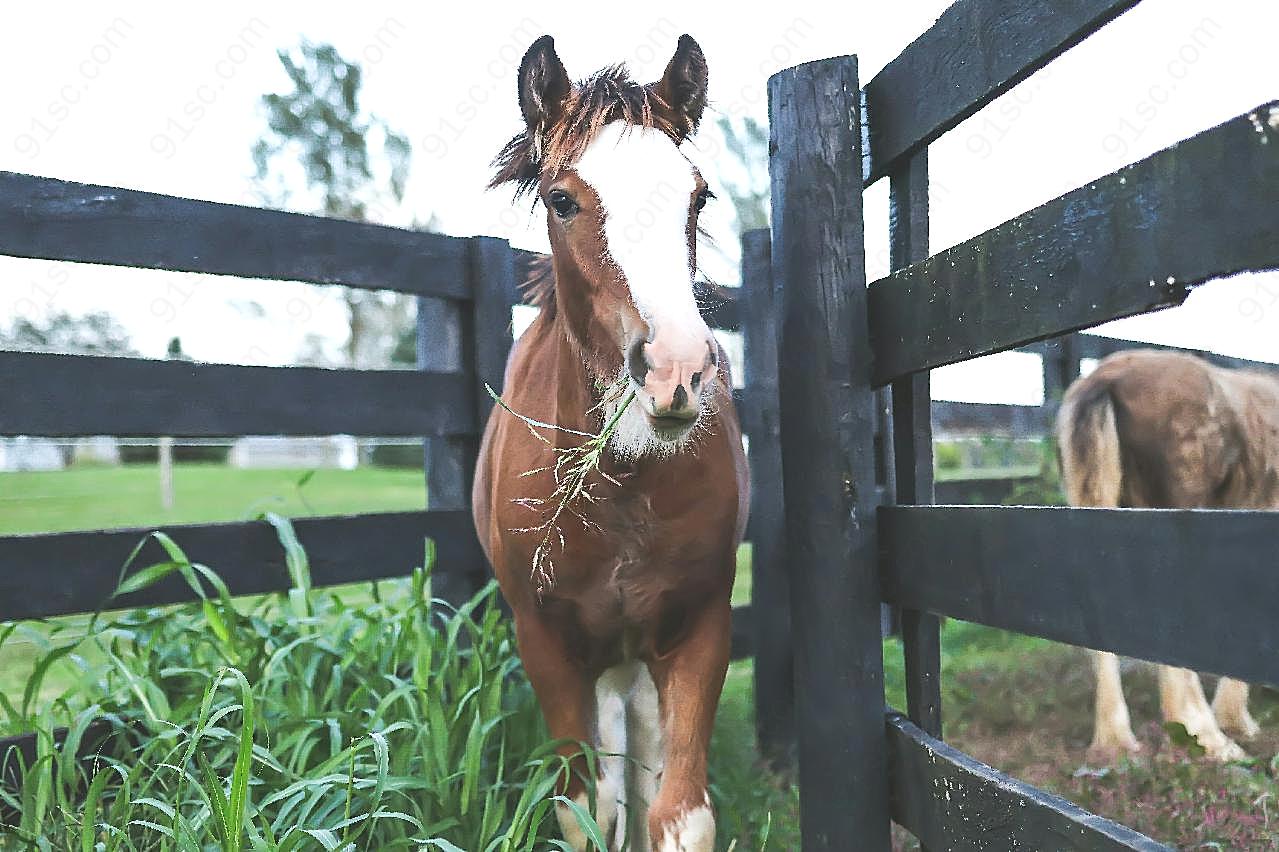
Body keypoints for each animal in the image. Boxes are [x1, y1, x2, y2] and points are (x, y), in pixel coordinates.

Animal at [473, 34, 746, 849]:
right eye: (562, 200)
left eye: (698, 198)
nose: (676, 372)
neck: (623, 483)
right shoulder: (548, 643)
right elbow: (585, 807)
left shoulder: (698, 627)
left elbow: (679, 811)